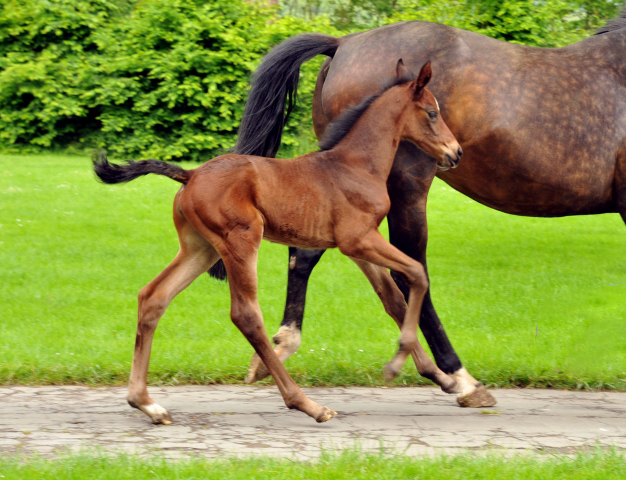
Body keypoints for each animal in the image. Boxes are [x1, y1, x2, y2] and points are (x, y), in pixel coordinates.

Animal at [95, 60, 460, 424]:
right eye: (432, 112)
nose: (455, 152)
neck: (357, 165)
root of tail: (191, 174)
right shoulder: (358, 240)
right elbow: (417, 274)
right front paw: (399, 366)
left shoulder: (361, 247)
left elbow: (393, 300)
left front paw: (443, 378)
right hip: (241, 240)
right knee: (246, 315)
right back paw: (307, 404)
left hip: (200, 249)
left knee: (153, 297)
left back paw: (147, 403)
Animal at [222, 12, 624, 408]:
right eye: (431, 112)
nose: (456, 151)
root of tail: (343, 43)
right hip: (406, 188)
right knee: (407, 271)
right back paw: (459, 378)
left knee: (338, 263)